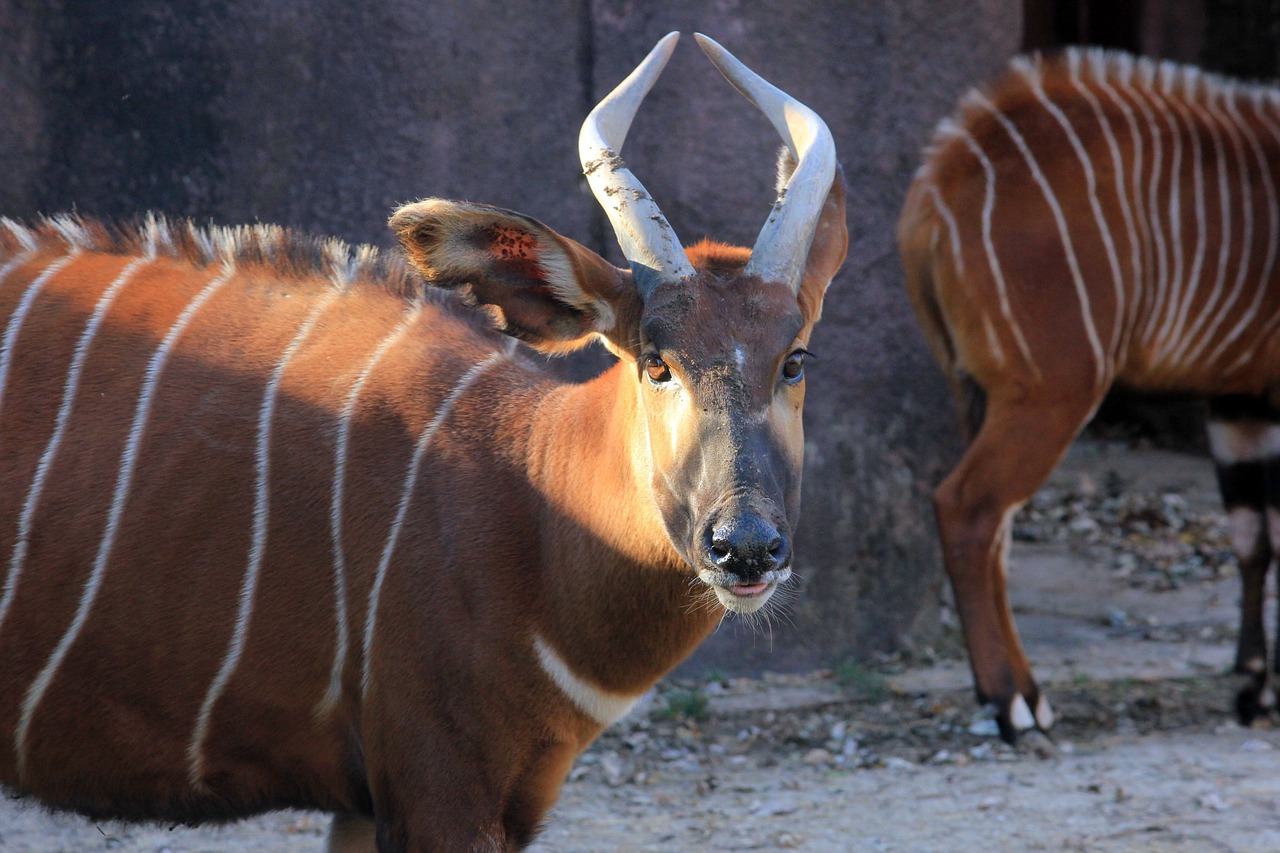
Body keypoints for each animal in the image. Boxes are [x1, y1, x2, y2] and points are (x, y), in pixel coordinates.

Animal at [0, 31, 849, 845]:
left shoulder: (380, 803)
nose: (745, 547)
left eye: (794, 359)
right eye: (656, 362)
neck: (528, 494)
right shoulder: (439, 786)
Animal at [901, 46, 1280, 742]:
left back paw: (1028, 695)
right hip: (1055, 390)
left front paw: (1253, 689)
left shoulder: (1241, 399)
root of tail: (936, 188)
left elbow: (1253, 537)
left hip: (978, 391)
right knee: (968, 507)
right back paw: (1012, 706)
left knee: (996, 530)